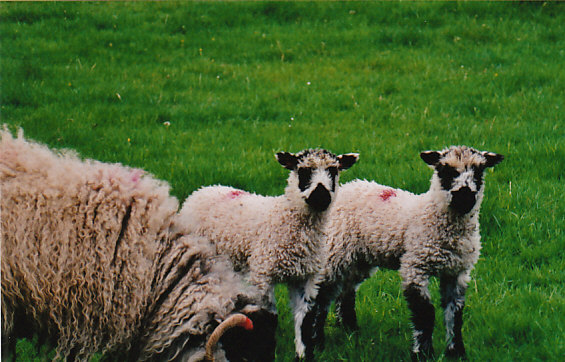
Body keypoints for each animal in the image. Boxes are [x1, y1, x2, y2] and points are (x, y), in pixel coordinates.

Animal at [177, 148, 356, 360]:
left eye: (333, 170)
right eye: (303, 170)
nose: (320, 196)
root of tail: (202, 190)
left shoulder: (307, 278)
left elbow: (305, 320)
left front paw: (303, 355)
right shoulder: (262, 274)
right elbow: (270, 317)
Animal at [306, 146, 504, 360]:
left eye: (479, 171)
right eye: (445, 170)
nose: (465, 197)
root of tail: (348, 186)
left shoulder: (457, 272)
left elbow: (455, 313)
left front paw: (456, 352)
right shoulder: (415, 265)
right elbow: (425, 312)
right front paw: (423, 353)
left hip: (358, 259)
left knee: (347, 291)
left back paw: (350, 329)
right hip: (336, 250)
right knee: (322, 295)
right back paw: (317, 340)